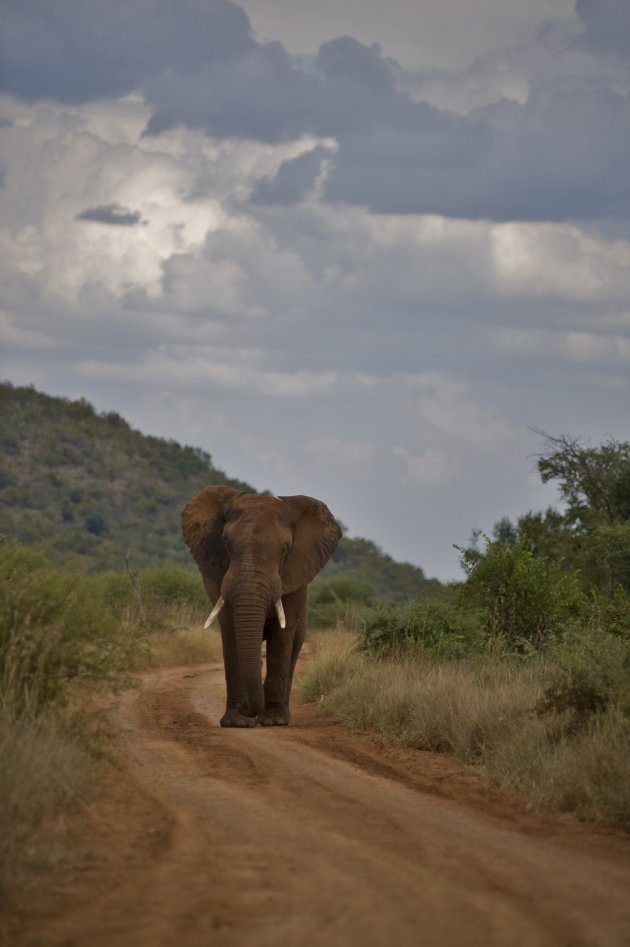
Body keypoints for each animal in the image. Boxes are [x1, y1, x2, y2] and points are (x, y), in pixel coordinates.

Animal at [183, 486, 340, 728]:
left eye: (285, 549)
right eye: (226, 544)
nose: (246, 708)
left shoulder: (294, 578)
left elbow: (282, 636)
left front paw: (274, 721)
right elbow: (231, 632)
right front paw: (237, 723)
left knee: (293, 648)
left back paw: (283, 716)